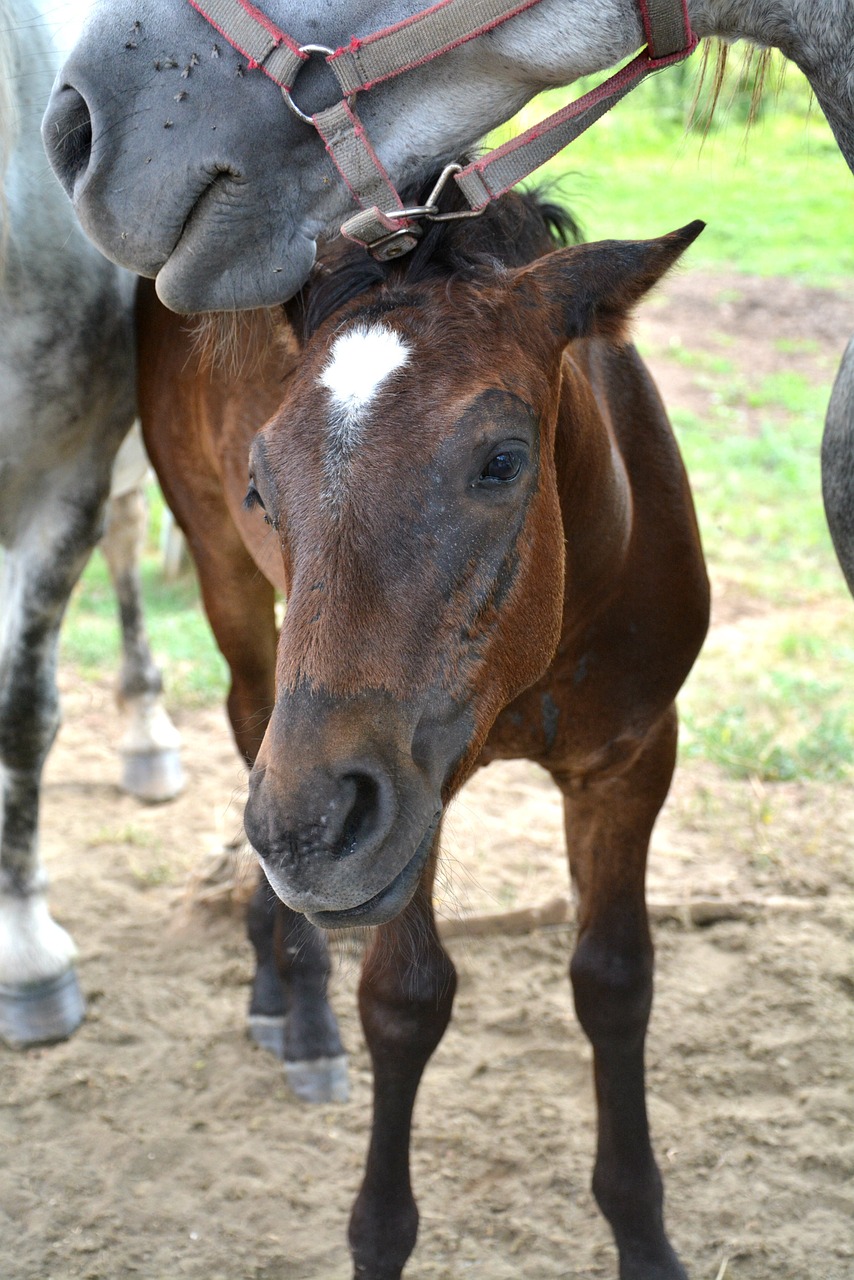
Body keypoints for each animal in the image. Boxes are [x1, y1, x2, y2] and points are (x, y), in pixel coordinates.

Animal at [138, 192, 706, 1280]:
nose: (309, 830)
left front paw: (646, 1237)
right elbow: (403, 1002)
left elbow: (615, 982)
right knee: (248, 721)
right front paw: (377, 1233)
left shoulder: (629, 761)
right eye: (262, 484)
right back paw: (294, 1002)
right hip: (231, 596)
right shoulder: (405, 801)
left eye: (502, 460)